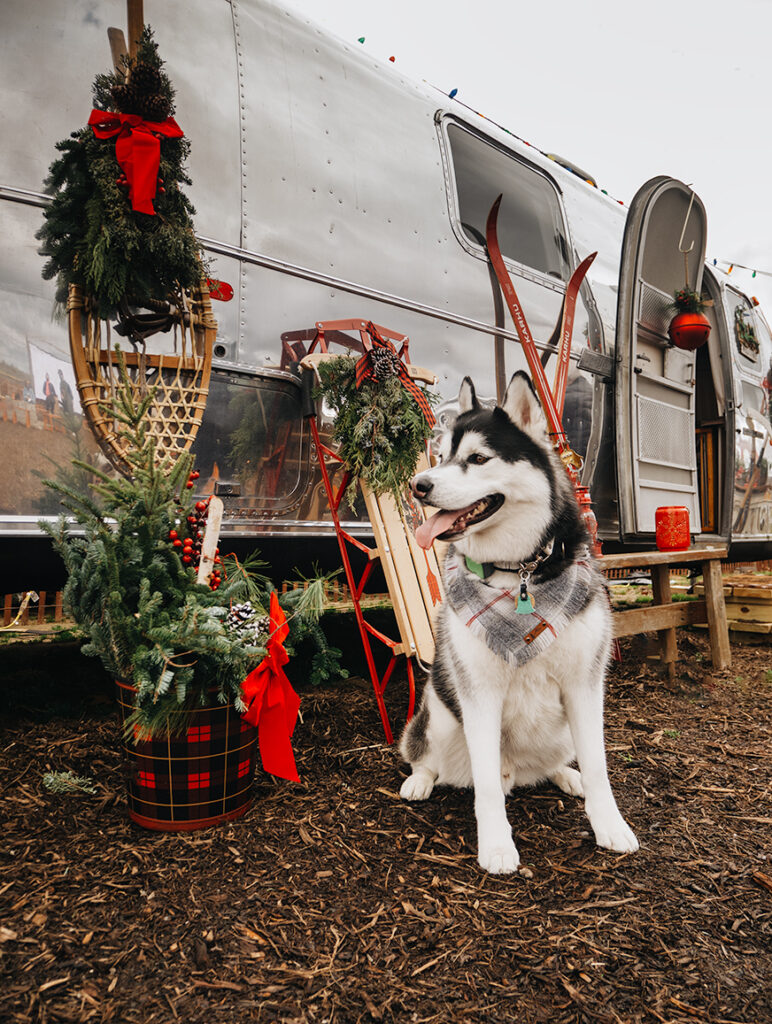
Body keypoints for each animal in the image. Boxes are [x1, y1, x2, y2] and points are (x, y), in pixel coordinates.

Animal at [399, 374, 634, 872]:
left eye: (477, 458)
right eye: (441, 456)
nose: (418, 485)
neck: (517, 571)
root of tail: (519, 770)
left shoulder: (585, 686)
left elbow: (599, 767)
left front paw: (610, 825)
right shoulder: (479, 693)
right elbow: (487, 786)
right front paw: (496, 846)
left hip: (561, 732)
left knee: (552, 766)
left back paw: (565, 775)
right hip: (440, 713)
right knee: (429, 758)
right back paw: (421, 780)